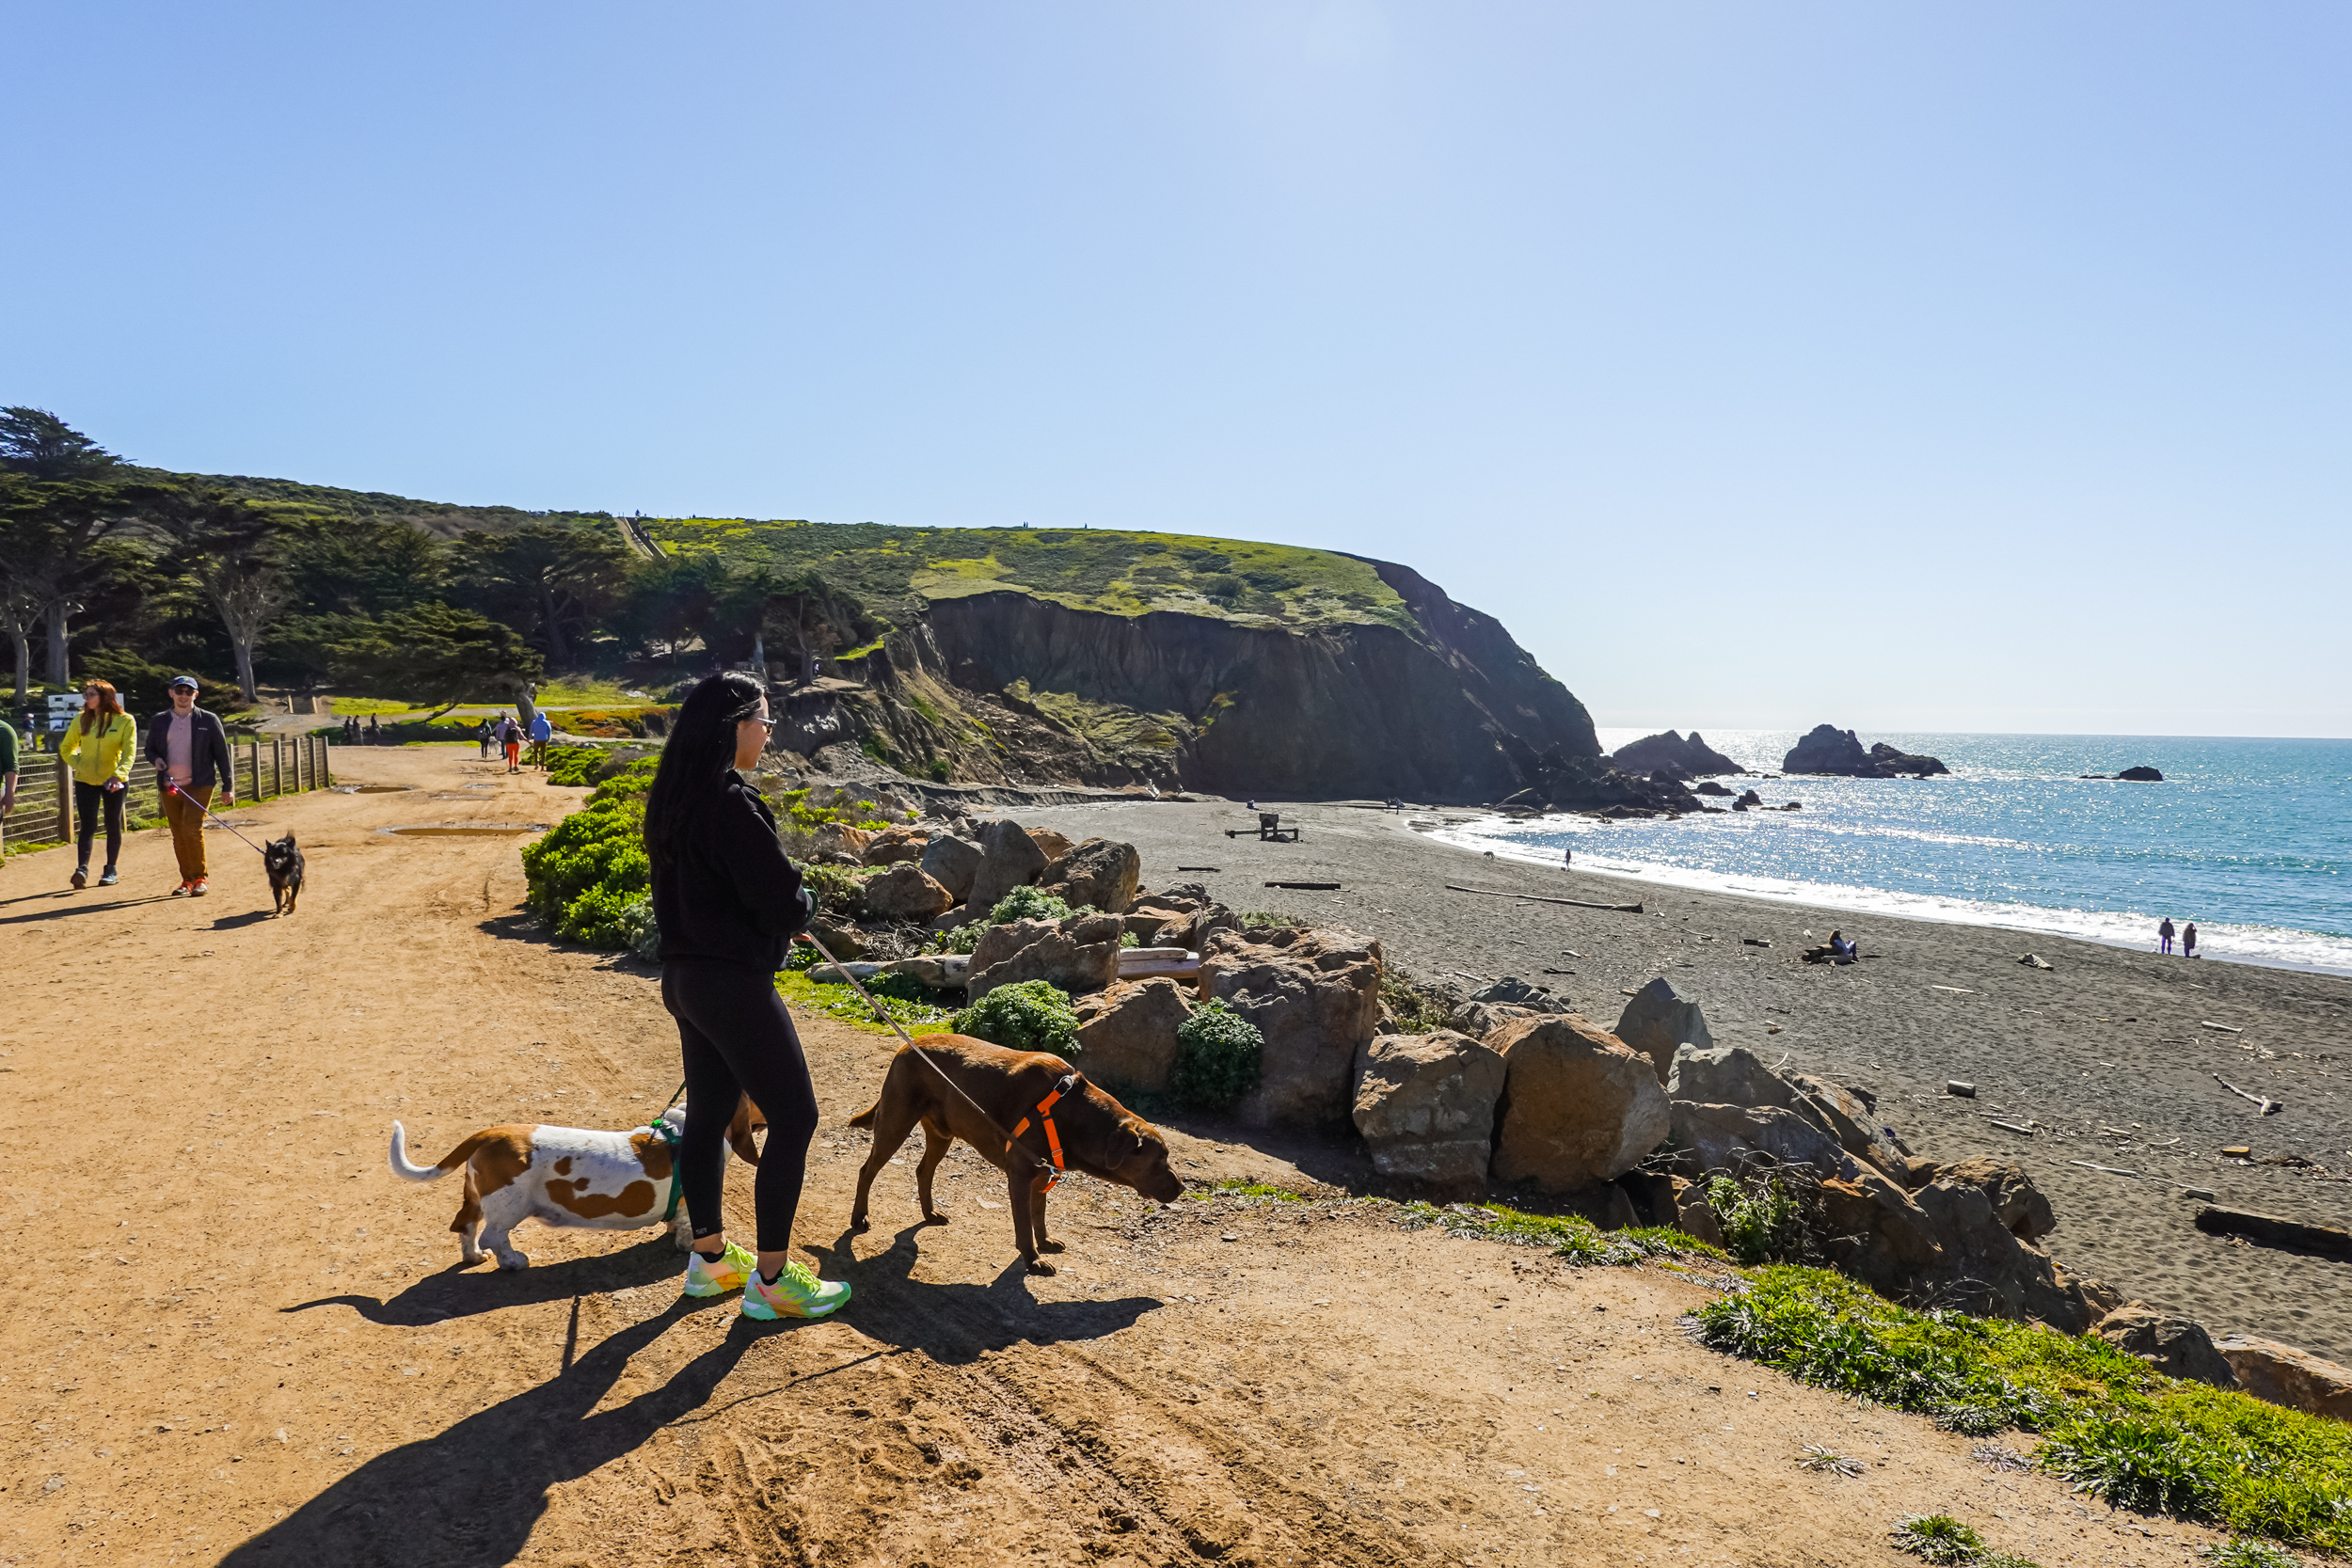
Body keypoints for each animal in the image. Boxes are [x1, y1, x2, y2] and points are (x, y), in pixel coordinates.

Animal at [381, 1100, 757, 1269]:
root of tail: (487, 1135)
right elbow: (689, 1226)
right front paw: (691, 1245)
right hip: (510, 1205)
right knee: (494, 1235)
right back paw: (513, 1261)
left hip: (476, 1195)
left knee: (465, 1226)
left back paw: (474, 1256)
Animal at [851, 1029, 1185, 1278]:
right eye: (1161, 1159)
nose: (1182, 1188)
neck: (1072, 1113)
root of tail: (905, 1047)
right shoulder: (1021, 1175)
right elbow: (1024, 1224)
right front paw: (1032, 1259)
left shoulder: (1042, 1173)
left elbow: (1039, 1214)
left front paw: (1045, 1241)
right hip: (895, 1123)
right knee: (867, 1170)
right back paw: (860, 1217)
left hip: (941, 1134)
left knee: (923, 1171)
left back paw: (929, 1213)